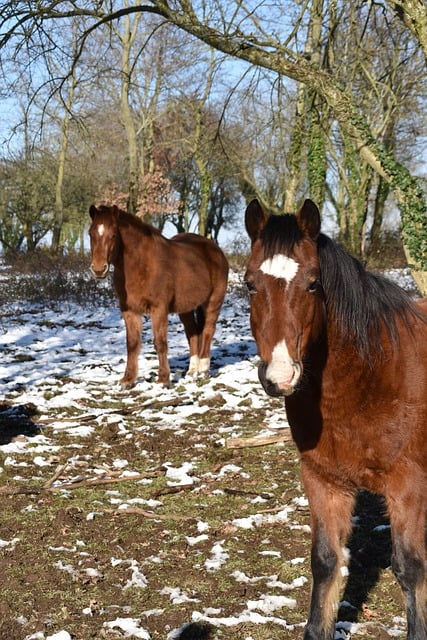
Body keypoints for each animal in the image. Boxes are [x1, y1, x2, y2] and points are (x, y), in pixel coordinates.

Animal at [88, 204, 229, 384]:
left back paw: (203, 370)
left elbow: (160, 343)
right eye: (91, 234)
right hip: (186, 308)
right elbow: (132, 343)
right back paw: (192, 372)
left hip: (213, 302)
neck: (141, 265)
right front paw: (128, 380)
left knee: (208, 331)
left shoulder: (159, 309)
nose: (99, 269)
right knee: (193, 334)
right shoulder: (129, 310)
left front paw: (163, 379)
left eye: (113, 235)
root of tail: (215, 250)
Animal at [244, 198, 427, 636]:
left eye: (313, 283)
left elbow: (410, 569)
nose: (280, 376)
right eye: (249, 283)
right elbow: (326, 562)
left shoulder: (408, 486)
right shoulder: (323, 481)